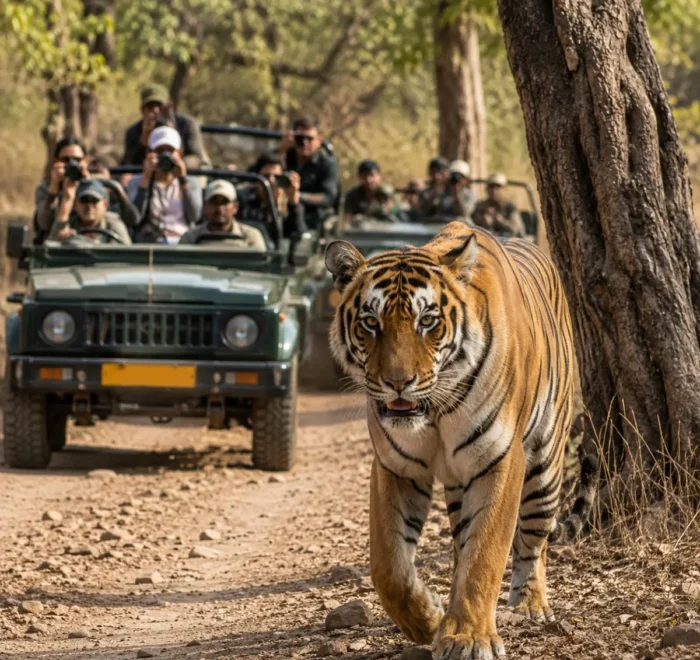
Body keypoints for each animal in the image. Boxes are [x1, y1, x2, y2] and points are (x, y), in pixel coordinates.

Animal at [325, 222, 598, 660]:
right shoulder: (395, 465)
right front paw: (427, 620)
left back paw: (530, 605)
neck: (433, 412)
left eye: (427, 321)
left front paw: (468, 637)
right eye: (370, 322)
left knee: (534, 541)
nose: (398, 382)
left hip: (545, 464)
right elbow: (388, 567)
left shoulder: (500, 460)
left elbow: (485, 554)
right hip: (457, 483)